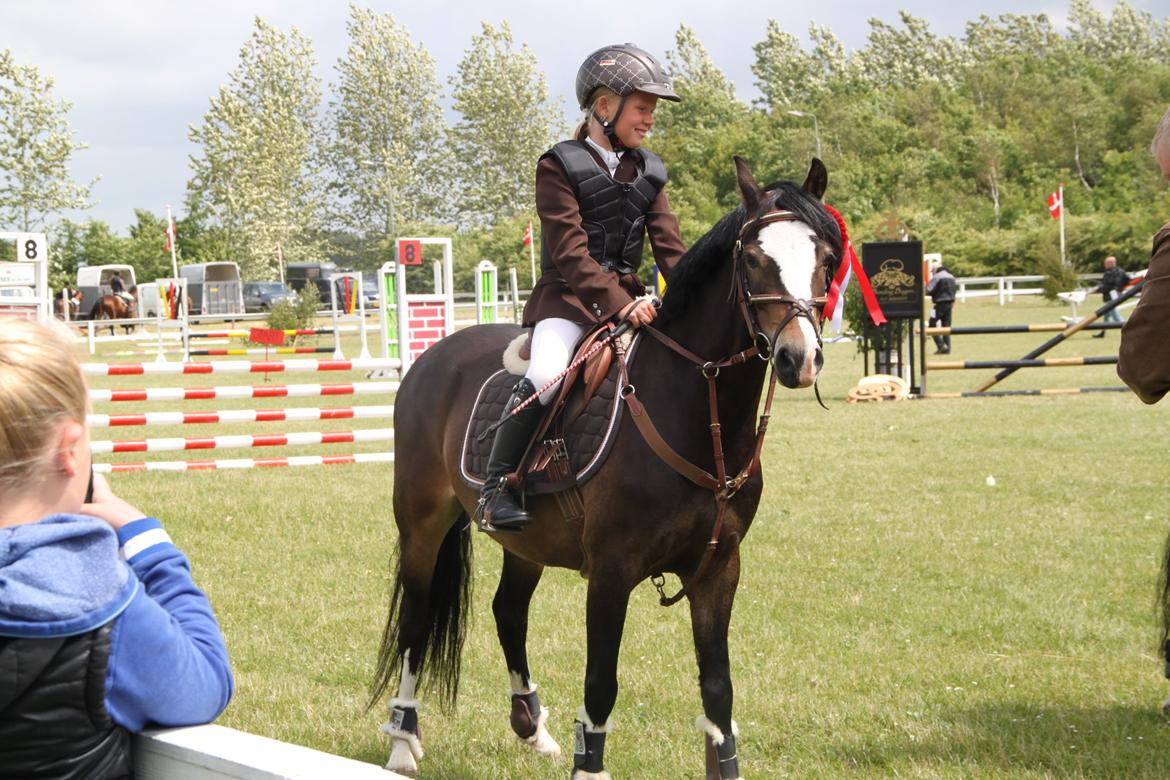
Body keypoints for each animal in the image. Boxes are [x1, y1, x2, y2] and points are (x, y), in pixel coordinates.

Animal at [371, 157, 842, 780]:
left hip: (527, 542)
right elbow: (601, 684)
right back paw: (403, 740)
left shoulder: (720, 570)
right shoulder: (612, 572)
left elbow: (718, 691)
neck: (695, 409)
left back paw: (533, 729)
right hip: (422, 525)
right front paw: (587, 764)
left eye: (826, 259)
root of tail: (433, 357)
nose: (799, 357)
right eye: (753, 259)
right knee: (417, 620)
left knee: (508, 612)